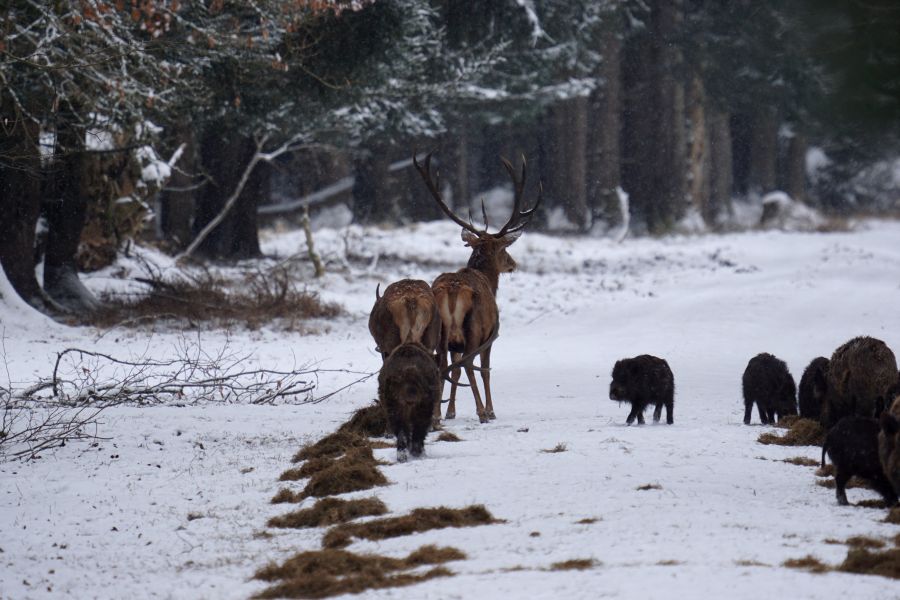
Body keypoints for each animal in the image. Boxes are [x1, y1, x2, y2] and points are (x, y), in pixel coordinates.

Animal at [413, 151, 541, 424]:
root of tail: (451, 290)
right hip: (472, 329)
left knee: (443, 365)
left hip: (439, 331)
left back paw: (436, 416)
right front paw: (491, 410)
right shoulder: (490, 335)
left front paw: (450, 411)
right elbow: (485, 370)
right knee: (470, 365)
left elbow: (455, 370)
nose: (513, 264)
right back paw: (482, 412)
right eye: (503, 249)